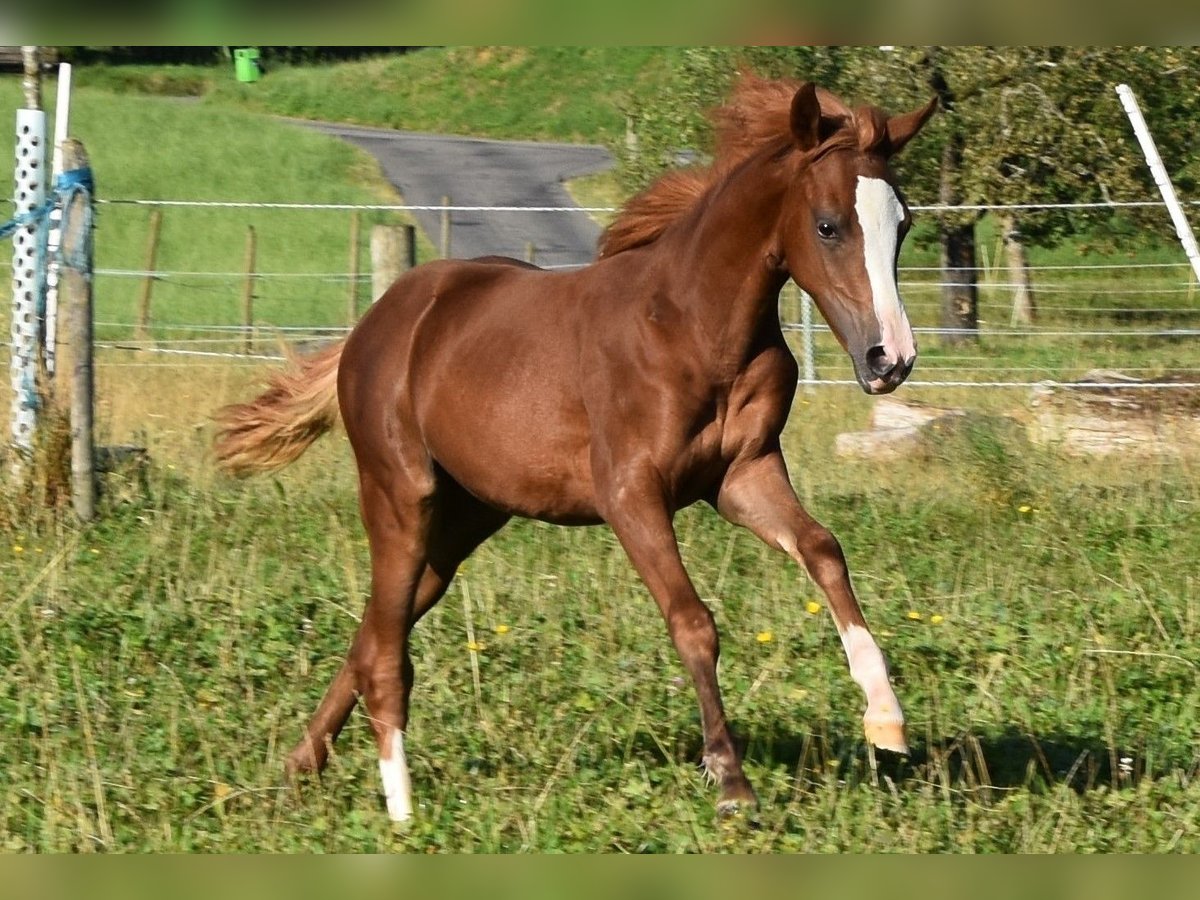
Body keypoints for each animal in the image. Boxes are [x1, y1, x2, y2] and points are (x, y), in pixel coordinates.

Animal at [213, 79, 936, 825]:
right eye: (827, 225)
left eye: (904, 224)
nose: (891, 360)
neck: (696, 328)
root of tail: (373, 324)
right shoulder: (630, 493)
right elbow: (694, 623)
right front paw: (731, 780)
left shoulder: (743, 476)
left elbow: (824, 549)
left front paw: (886, 719)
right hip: (400, 495)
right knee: (385, 645)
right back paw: (400, 803)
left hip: (465, 521)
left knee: (374, 630)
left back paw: (298, 768)